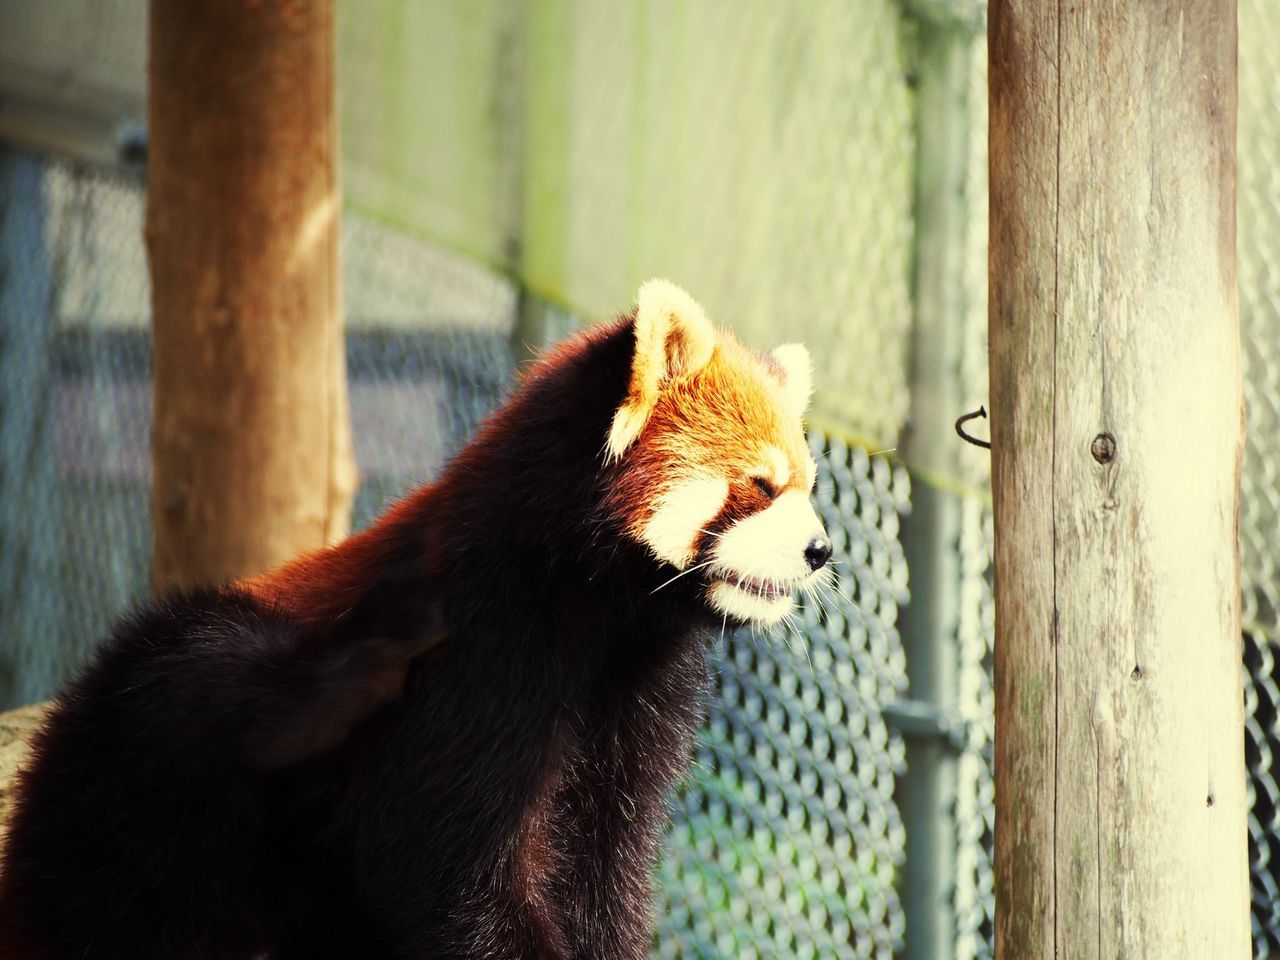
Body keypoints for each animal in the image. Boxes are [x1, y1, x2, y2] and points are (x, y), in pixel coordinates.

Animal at [0, 281, 829, 957]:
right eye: (761, 486)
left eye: (807, 486)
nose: (822, 549)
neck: (600, 620)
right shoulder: (480, 653)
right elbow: (447, 874)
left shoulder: (638, 700)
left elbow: (601, 877)